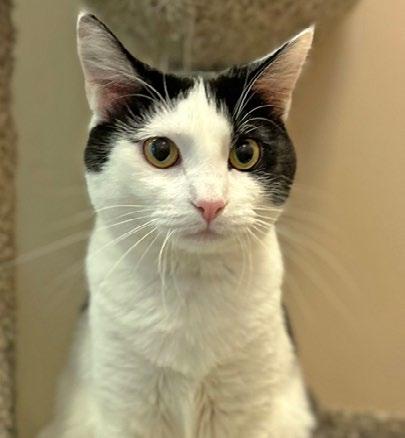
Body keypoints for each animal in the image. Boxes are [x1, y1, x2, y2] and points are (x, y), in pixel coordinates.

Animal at [39, 12, 315, 438]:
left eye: (246, 153)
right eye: (160, 151)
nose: (210, 202)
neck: (190, 283)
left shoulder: (249, 407)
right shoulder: (125, 406)